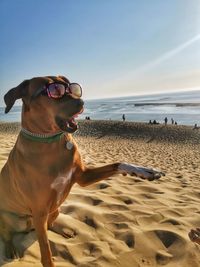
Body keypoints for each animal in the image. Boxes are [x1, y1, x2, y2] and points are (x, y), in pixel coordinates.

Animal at [0, 76, 164, 267]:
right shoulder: (39, 211)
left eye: (72, 88)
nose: (82, 102)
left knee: (49, 223)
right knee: (8, 232)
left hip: (55, 210)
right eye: (54, 91)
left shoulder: (82, 177)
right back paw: (10, 248)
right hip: (16, 218)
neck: (51, 141)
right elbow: (46, 253)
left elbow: (118, 164)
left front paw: (144, 170)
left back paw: (62, 230)